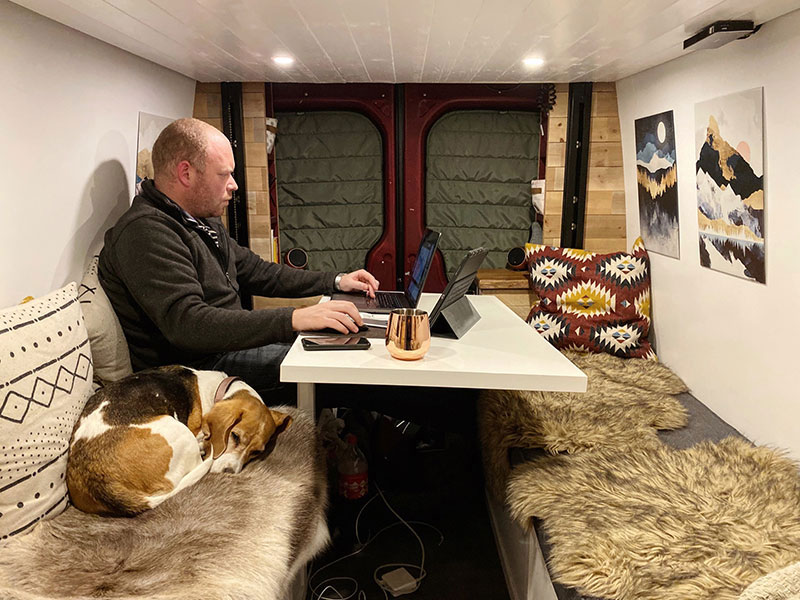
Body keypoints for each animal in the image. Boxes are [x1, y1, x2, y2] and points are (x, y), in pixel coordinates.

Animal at [65, 364, 290, 516]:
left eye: (256, 452)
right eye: (235, 436)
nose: (230, 472)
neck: (219, 390)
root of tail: (97, 479)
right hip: (179, 432)